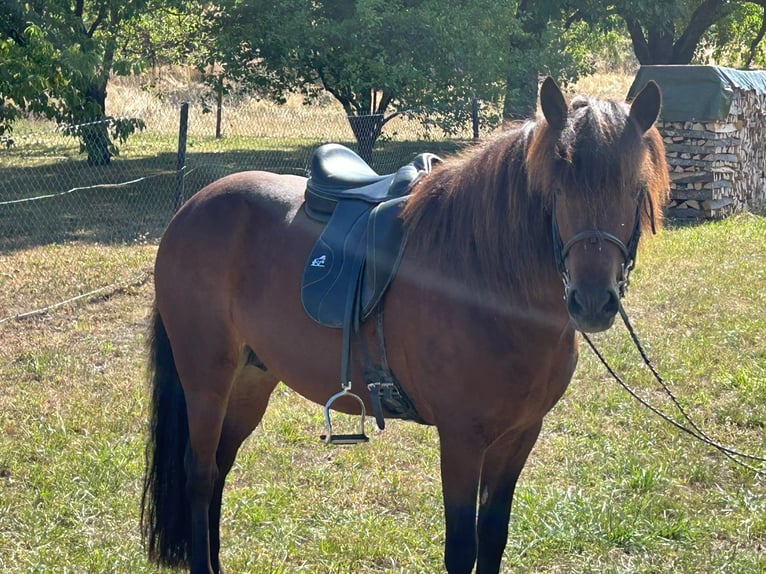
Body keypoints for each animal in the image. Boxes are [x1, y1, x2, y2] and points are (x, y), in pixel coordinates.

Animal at [140, 77, 669, 574]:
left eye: (634, 188)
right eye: (555, 189)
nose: (593, 301)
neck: (487, 281)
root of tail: (193, 206)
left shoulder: (520, 435)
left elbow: (493, 536)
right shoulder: (461, 440)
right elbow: (462, 549)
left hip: (252, 378)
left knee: (220, 467)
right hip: (206, 379)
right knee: (199, 472)